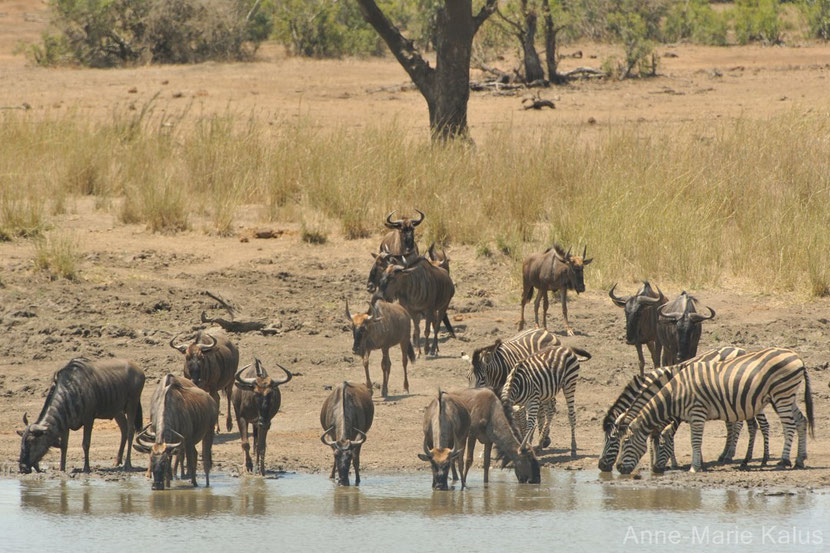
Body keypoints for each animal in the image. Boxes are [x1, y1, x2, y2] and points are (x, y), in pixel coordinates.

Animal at [616, 348, 820, 472]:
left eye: (625, 442)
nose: (617, 468)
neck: (676, 392)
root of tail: (797, 356)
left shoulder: (697, 413)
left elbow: (694, 441)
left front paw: (694, 467)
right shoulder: (690, 416)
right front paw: (698, 463)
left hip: (781, 394)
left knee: (788, 425)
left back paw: (783, 461)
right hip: (787, 395)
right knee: (801, 420)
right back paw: (799, 460)